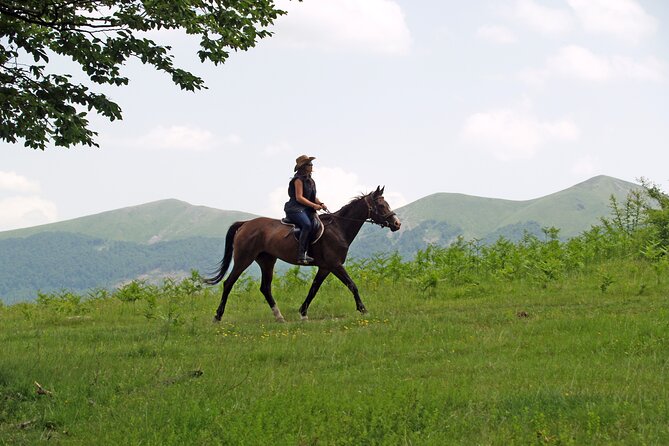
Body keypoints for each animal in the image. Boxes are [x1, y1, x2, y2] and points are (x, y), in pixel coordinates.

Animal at [206, 186, 400, 322]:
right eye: (381, 205)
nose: (397, 224)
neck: (339, 228)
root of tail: (245, 224)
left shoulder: (325, 267)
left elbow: (314, 289)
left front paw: (303, 313)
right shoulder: (335, 265)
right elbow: (352, 285)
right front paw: (363, 310)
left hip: (267, 260)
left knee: (265, 288)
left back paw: (279, 317)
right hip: (244, 259)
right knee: (229, 283)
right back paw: (217, 316)